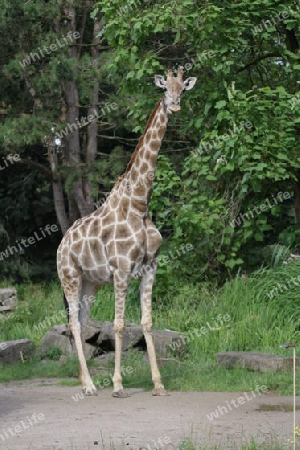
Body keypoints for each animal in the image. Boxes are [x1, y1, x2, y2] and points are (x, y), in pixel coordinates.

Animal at [56, 67, 197, 398]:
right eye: (164, 89)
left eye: (182, 89)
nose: (175, 105)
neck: (140, 204)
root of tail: (61, 244)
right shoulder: (121, 270)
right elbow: (120, 325)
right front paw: (119, 384)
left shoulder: (150, 267)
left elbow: (146, 323)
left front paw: (158, 384)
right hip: (69, 277)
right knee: (75, 324)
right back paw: (91, 386)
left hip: (90, 283)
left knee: (81, 322)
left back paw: (86, 382)